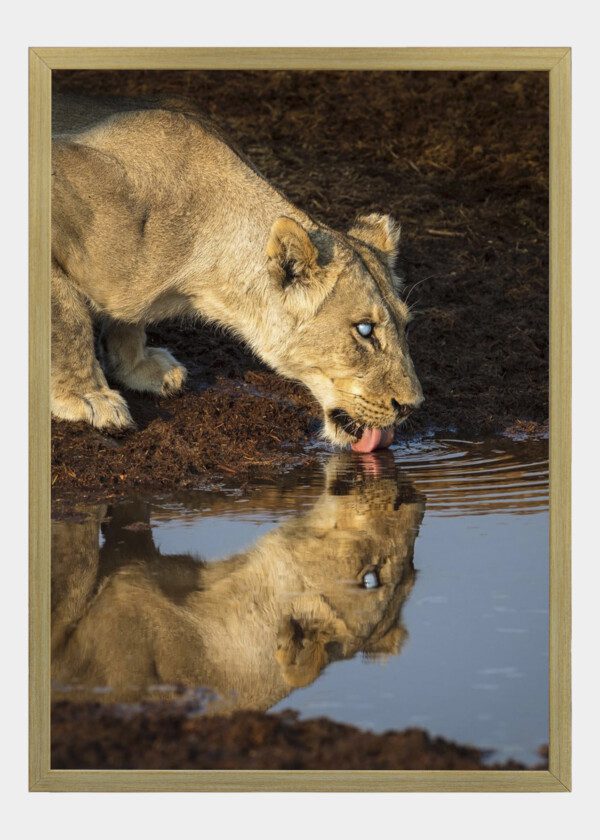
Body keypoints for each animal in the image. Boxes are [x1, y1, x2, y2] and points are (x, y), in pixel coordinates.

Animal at [51, 94, 423, 452]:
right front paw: (87, 397)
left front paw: (136, 366)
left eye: (405, 326)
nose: (411, 406)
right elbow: (69, 324)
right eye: (365, 330)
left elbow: (126, 321)